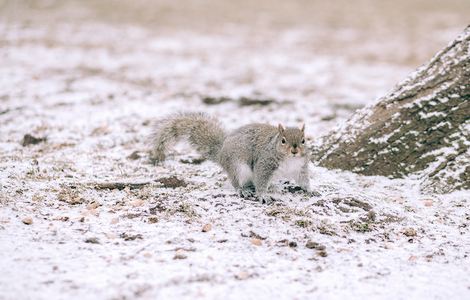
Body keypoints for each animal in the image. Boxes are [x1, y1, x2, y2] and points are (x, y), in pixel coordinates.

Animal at [151, 112, 310, 204]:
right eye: (283, 140)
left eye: (303, 140)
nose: (294, 150)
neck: (290, 159)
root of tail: (221, 153)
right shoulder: (264, 164)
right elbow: (260, 181)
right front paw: (263, 196)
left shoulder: (300, 167)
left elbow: (303, 180)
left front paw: (310, 190)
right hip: (237, 167)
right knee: (237, 182)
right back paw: (243, 190)